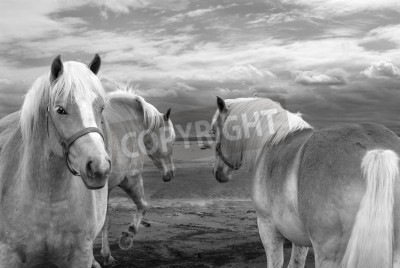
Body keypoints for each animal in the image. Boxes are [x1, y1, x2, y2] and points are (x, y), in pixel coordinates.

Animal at [0, 55, 111, 268]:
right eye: (60, 110)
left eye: (101, 108)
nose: (99, 168)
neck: (50, 200)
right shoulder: (8, 255)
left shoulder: (81, 255)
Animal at [211, 97, 400, 268]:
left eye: (213, 131)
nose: (217, 173)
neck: (271, 143)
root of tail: (377, 151)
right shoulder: (299, 237)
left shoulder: (267, 227)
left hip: (327, 254)